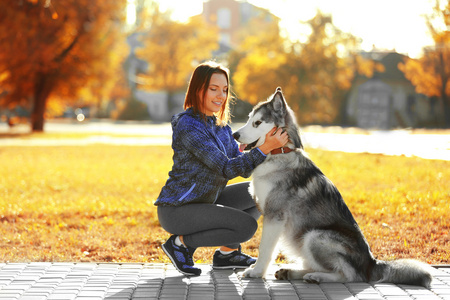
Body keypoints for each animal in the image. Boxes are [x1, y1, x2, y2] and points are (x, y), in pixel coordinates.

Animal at [232, 87, 432, 288]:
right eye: (249, 119)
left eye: (257, 123)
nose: (235, 135)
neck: (279, 153)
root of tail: (371, 263)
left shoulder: (275, 215)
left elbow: (265, 248)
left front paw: (256, 272)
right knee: (315, 266)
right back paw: (291, 272)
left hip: (315, 236)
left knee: (349, 276)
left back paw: (317, 277)